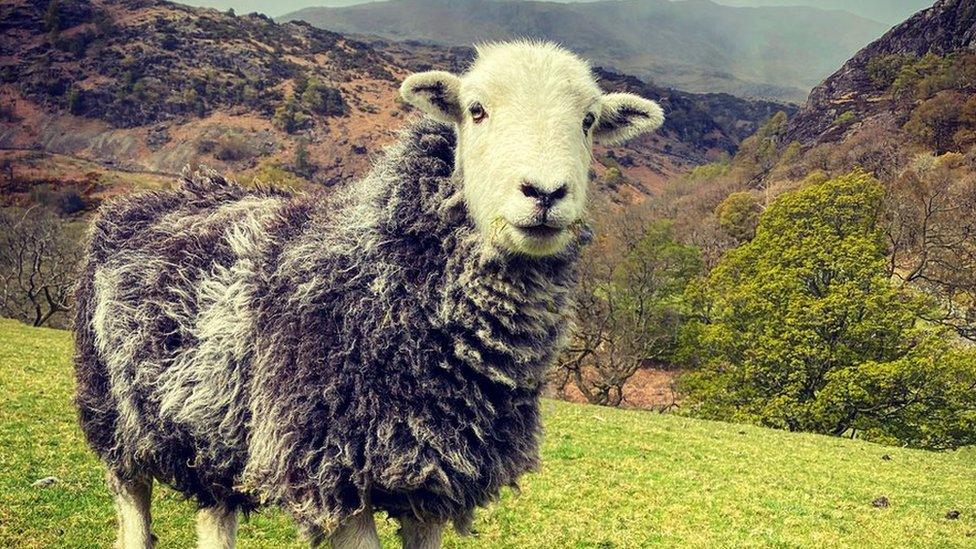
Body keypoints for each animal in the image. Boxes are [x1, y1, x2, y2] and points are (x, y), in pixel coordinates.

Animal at [74, 40, 664, 544]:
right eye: (476, 110)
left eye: (588, 121)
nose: (544, 193)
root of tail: (158, 194)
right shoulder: (330, 470)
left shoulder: (436, 477)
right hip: (113, 411)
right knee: (132, 504)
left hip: (208, 423)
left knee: (215, 510)